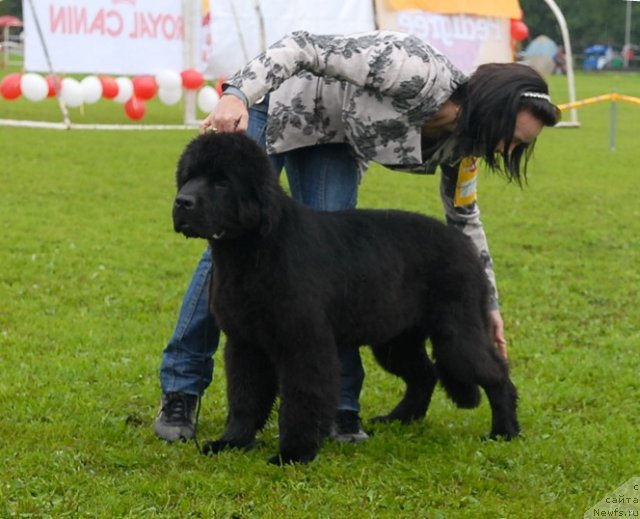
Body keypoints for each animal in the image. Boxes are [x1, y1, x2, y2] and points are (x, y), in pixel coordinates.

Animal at [172, 132, 516, 466]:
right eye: (188, 177)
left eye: (221, 181)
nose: (181, 202)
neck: (251, 252)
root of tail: (467, 246)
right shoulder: (245, 343)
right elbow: (245, 396)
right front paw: (232, 442)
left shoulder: (304, 344)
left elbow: (301, 399)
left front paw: (294, 453)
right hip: (396, 340)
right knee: (425, 374)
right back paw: (399, 418)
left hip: (456, 333)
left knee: (496, 374)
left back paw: (504, 432)